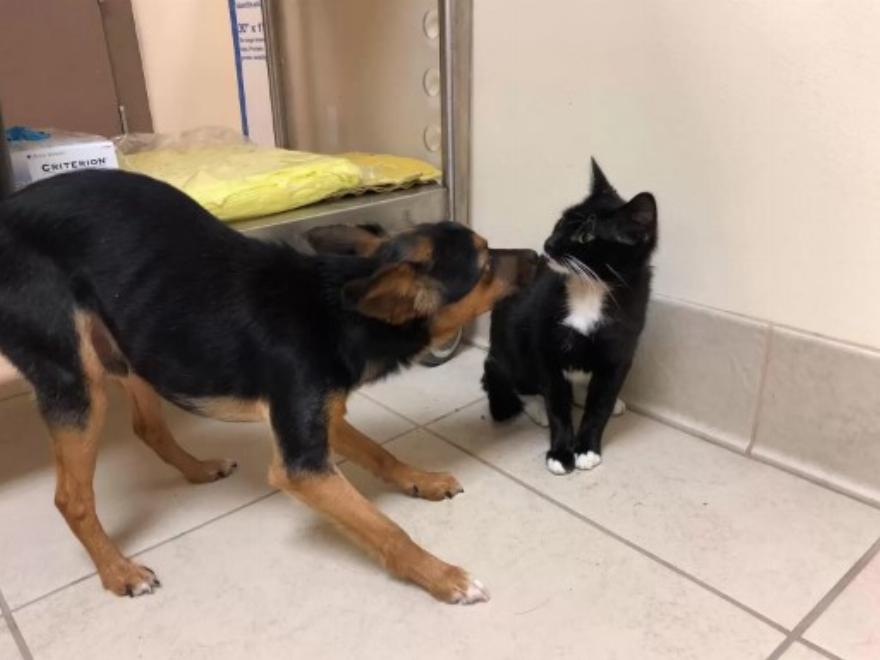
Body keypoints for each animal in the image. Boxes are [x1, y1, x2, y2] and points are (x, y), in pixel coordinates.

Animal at [0, 170, 536, 604]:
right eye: (486, 266)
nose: (536, 253)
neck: (339, 309)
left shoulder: (321, 417)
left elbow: (380, 453)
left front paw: (421, 479)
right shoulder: (302, 466)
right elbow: (387, 530)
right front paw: (443, 576)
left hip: (128, 345)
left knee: (146, 428)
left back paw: (198, 469)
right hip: (76, 379)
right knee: (71, 498)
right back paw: (117, 571)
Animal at [482, 159, 657, 474]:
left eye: (586, 236)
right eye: (561, 223)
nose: (548, 244)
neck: (589, 288)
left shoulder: (622, 347)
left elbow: (600, 403)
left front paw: (587, 447)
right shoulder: (545, 346)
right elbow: (557, 403)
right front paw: (561, 452)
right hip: (511, 343)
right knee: (508, 377)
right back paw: (535, 406)